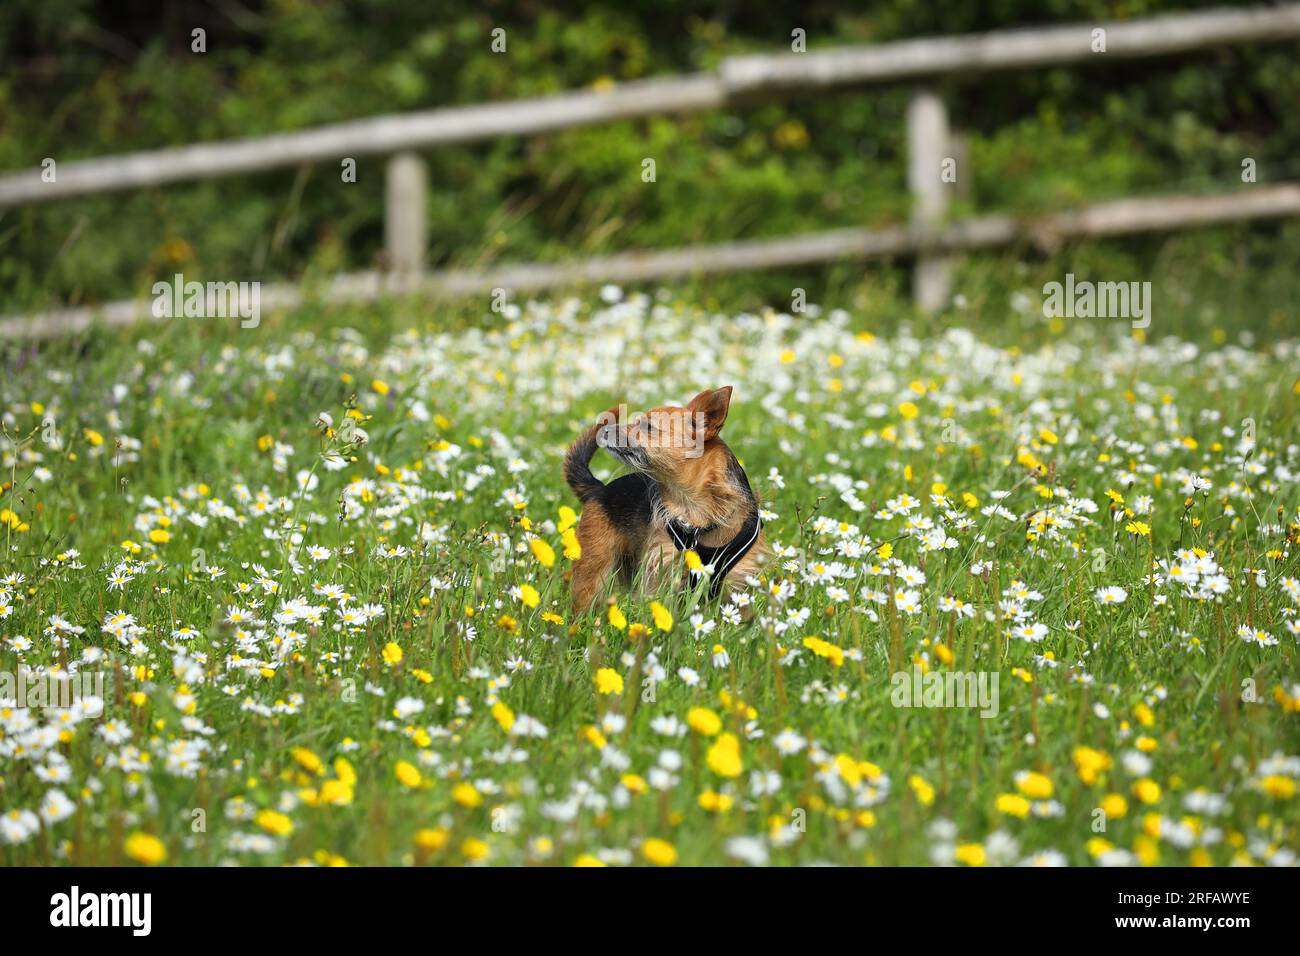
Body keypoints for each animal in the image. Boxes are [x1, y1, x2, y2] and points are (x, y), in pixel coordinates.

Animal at [559, 387, 759, 613]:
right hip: (593, 570)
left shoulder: (738, 583)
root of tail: (599, 489)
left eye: (647, 427)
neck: (694, 507)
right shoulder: (664, 569)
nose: (606, 430)